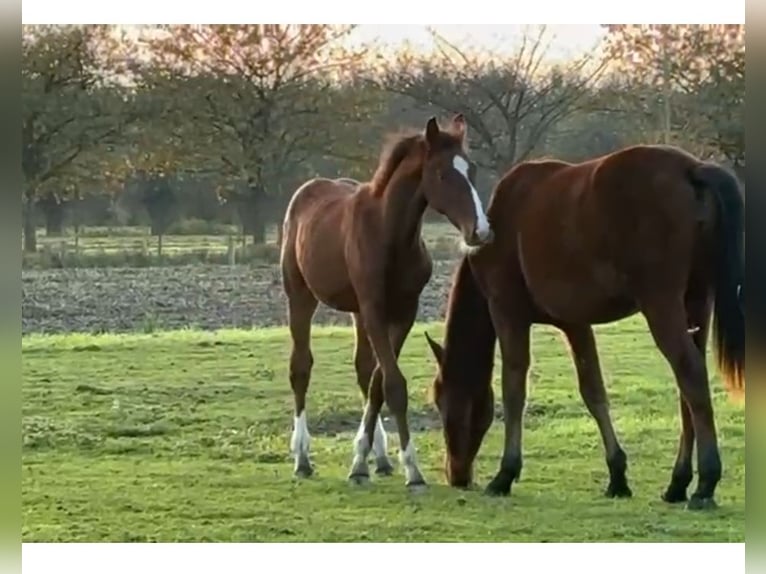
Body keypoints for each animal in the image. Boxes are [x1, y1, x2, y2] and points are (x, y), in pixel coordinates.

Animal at [280, 113, 492, 490]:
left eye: (473, 169)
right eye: (441, 173)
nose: (479, 231)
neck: (389, 233)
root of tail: (306, 191)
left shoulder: (403, 313)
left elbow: (379, 382)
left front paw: (362, 460)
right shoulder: (375, 309)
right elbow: (394, 384)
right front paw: (413, 470)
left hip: (356, 312)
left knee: (364, 370)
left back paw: (378, 459)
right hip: (300, 296)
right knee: (300, 367)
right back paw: (302, 458)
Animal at [424, 145, 748, 512]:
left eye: (441, 399)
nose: (456, 475)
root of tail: (691, 169)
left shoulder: (508, 313)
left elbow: (514, 388)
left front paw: (505, 473)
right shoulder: (575, 324)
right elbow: (593, 391)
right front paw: (617, 476)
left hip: (662, 306)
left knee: (689, 373)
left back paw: (705, 484)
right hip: (696, 302)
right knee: (689, 387)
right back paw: (678, 483)